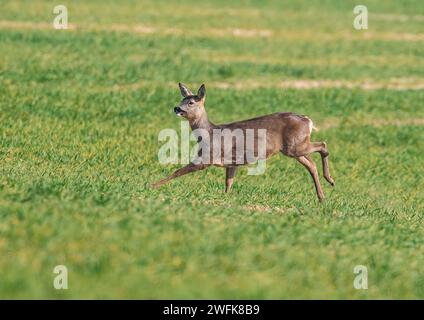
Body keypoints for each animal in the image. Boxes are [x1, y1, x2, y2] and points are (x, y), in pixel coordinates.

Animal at [152, 83, 334, 202]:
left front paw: (152, 185)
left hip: (295, 146)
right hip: (294, 148)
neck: (209, 133)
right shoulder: (231, 163)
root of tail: (308, 120)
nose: (176, 108)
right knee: (311, 164)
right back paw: (323, 195)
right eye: (181, 99)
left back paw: (329, 180)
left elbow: (178, 171)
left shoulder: (206, 158)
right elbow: (228, 183)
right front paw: (225, 199)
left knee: (323, 145)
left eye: (190, 102)